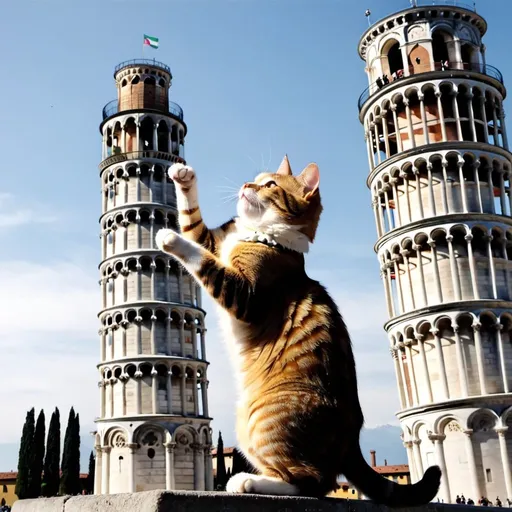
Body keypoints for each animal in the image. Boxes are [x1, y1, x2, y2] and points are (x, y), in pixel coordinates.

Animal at [154, 155, 442, 504]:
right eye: (256, 179)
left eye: (269, 185)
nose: (246, 185)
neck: (263, 234)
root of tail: (351, 439)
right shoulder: (213, 240)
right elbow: (193, 225)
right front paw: (183, 176)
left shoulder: (243, 293)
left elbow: (203, 259)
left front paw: (170, 238)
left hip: (261, 417)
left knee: (313, 482)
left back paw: (250, 482)